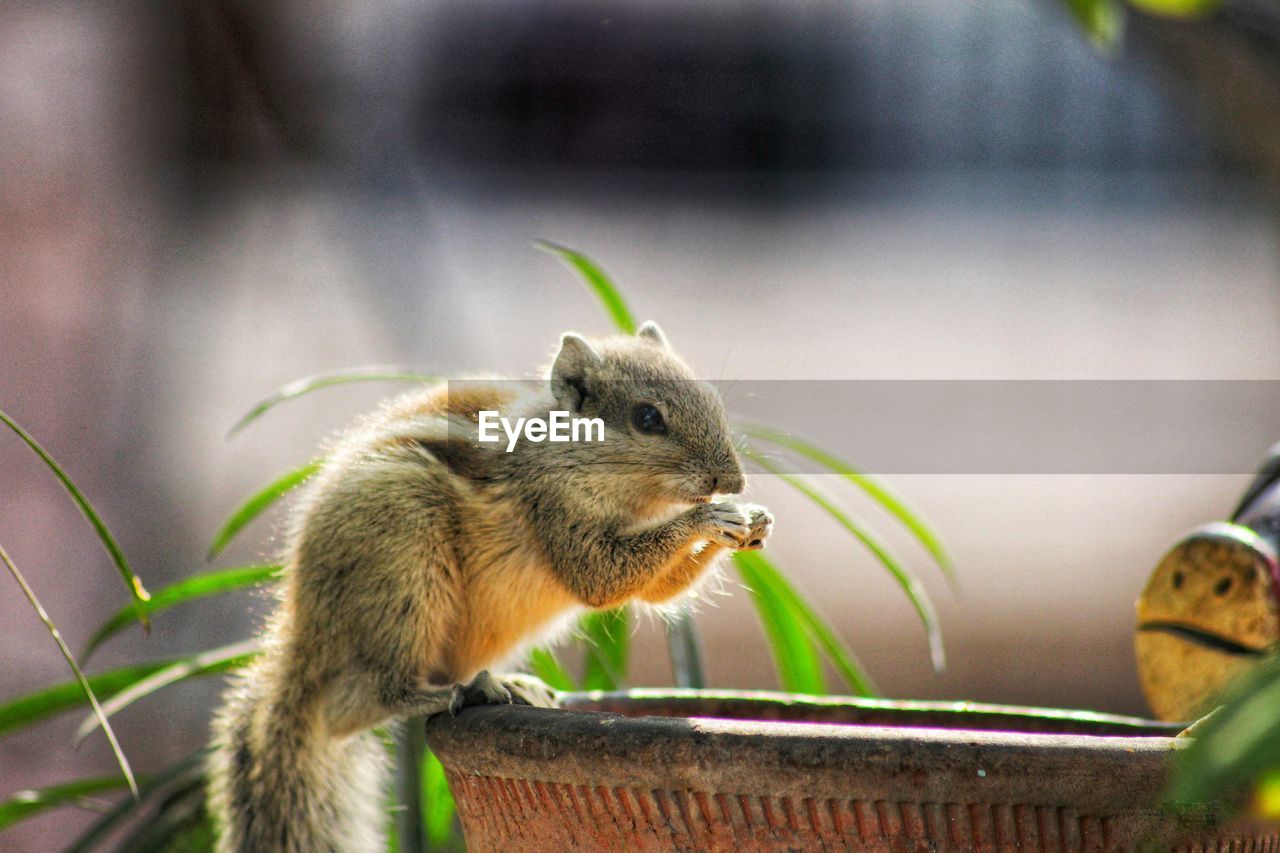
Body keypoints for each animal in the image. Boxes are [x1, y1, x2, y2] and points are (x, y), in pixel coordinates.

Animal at [204, 320, 773, 850]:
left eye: (712, 398)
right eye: (648, 418)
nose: (733, 481)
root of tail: (303, 632)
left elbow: (658, 591)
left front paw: (752, 520)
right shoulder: (555, 509)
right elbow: (601, 576)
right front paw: (709, 518)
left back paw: (514, 685)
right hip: (403, 563)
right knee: (361, 702)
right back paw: (464, 690)